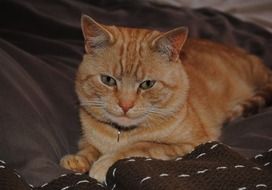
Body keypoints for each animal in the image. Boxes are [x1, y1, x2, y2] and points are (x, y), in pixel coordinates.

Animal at [60, 14, 272, 183]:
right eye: (108, 80)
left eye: (147, 84)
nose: (125, 105)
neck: (120, 133)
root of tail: (248, 54)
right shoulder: (88, 138)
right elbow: (89, 147)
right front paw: (80, 159)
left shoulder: (195, 143)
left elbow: (143, 145)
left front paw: (103, 163)